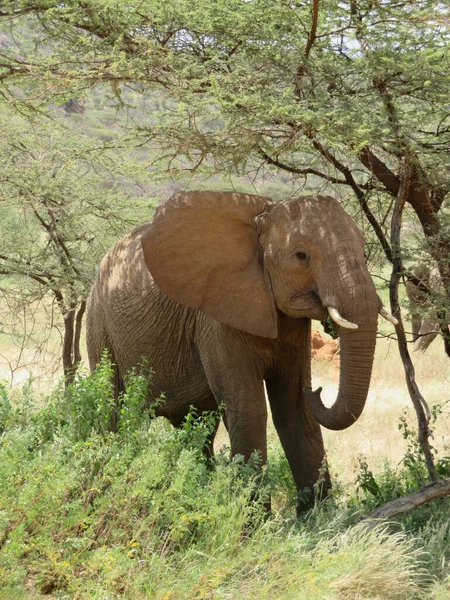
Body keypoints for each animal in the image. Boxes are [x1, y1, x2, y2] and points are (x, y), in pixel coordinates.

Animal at [86, 192, 396, 510]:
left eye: (364, 250)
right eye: (302, 256)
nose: (318, 390)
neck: (261, 221)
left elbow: (293, 406)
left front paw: (317, 515)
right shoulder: (216, 317)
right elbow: (249, 407)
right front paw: (254, 516)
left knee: (197, 429)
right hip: (99, 324)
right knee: (115, 412)